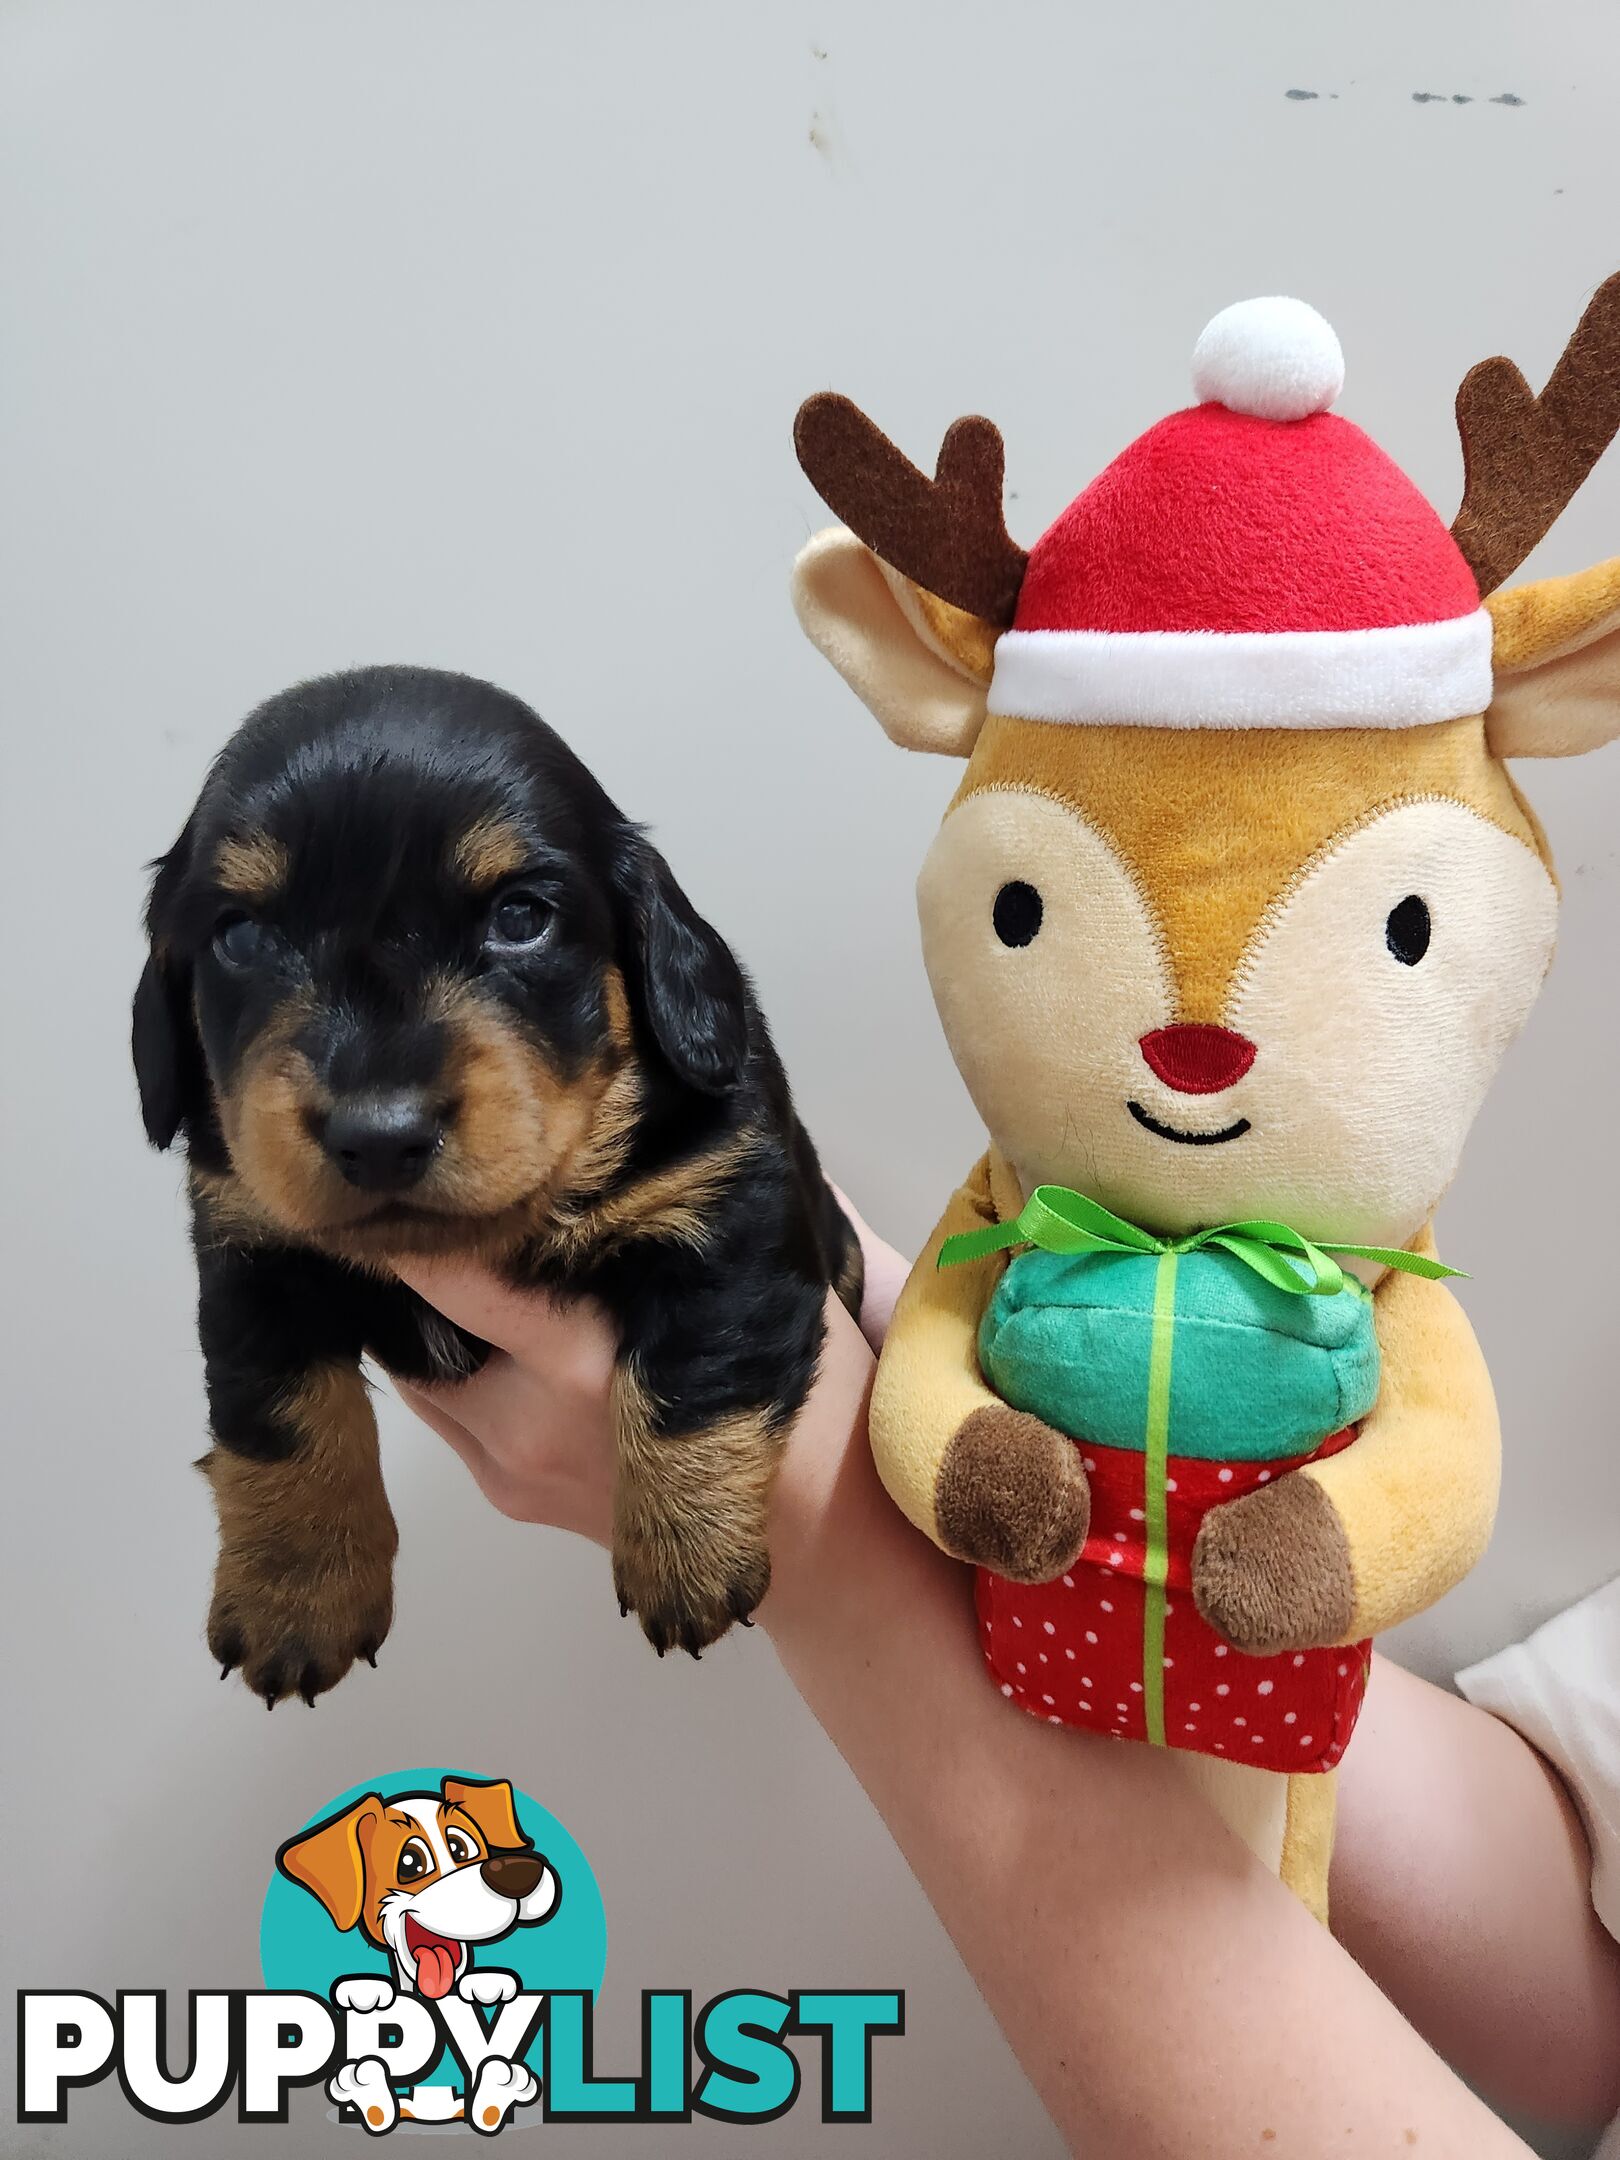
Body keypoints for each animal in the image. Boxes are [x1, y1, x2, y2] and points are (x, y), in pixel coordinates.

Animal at [133, 660, 864, 1702]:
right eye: (238, 935)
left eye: (520, 916)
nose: (379, 1138)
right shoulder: (249, 1254)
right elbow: (281, 1417)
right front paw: (295, 1596)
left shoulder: (731, 1204)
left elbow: (695, 1373)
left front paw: (687, 1553)